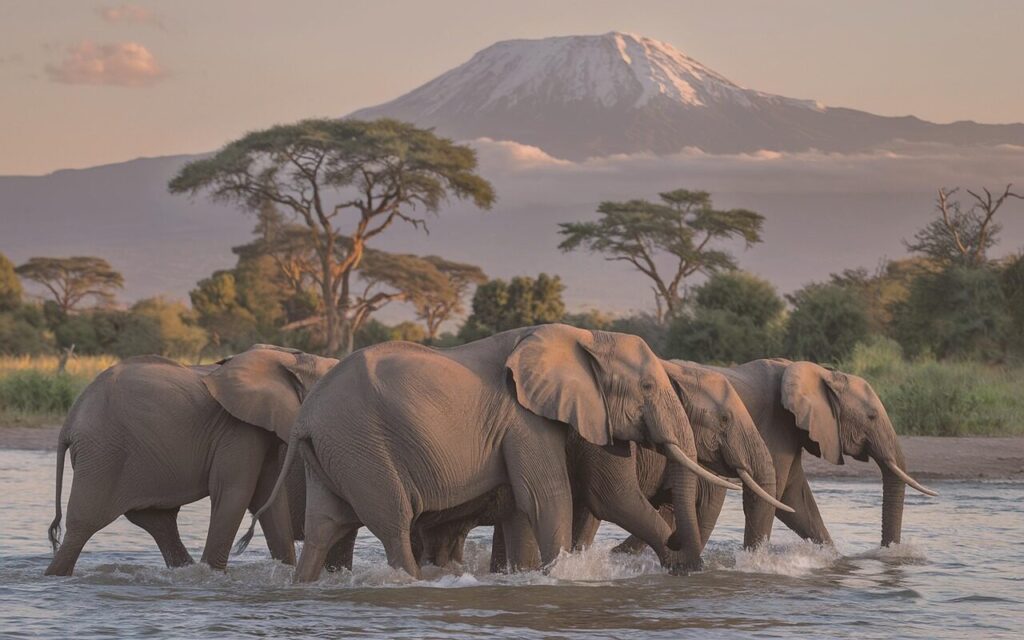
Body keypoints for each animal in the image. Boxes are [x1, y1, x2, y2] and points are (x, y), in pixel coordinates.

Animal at [44, 345, 337, 576]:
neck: (288, 358)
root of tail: (69, 421)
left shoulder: (261, 430)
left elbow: (270, 501)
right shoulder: (238, 430)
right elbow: (234, 494)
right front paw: (213, 577)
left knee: (159, 522)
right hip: (103, 453)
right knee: (83, 525)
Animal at [237, 323, 740, 581]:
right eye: (648, 387)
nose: (678, 548)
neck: (580, 335)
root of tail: (305, 418)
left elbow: (524, 506)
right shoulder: (524, 419)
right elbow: (548, 497)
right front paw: (560, 579)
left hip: (333, 452)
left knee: (324, 525)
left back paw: (305, 585)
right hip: (363, 448)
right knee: (393, 522)